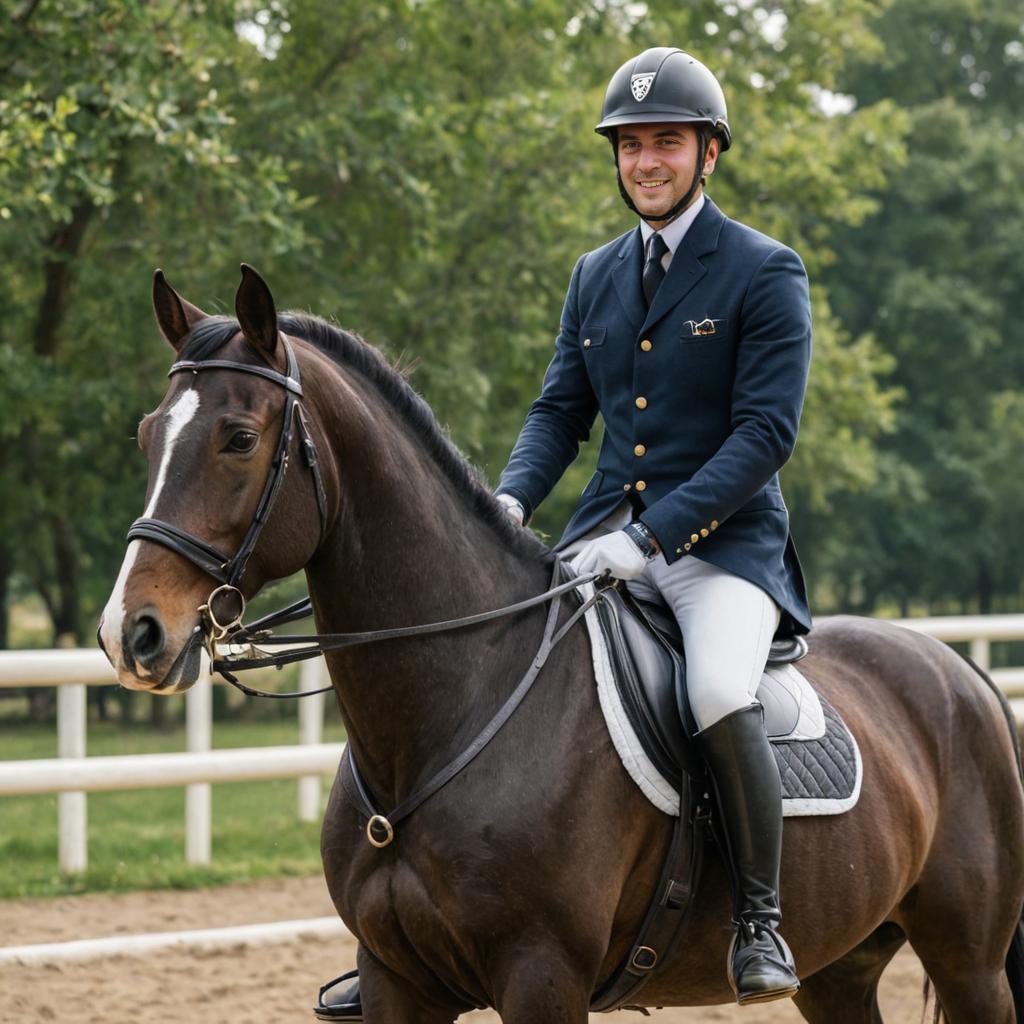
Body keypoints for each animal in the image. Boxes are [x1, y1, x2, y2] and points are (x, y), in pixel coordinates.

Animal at [97, 268, 1024, 1019]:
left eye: (239, 438)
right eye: (146, 434)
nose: (130, 633)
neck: (452, 706)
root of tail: (962, 673)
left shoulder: (541, 975)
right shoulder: (395, 981)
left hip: (970, 965)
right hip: (841, 969)